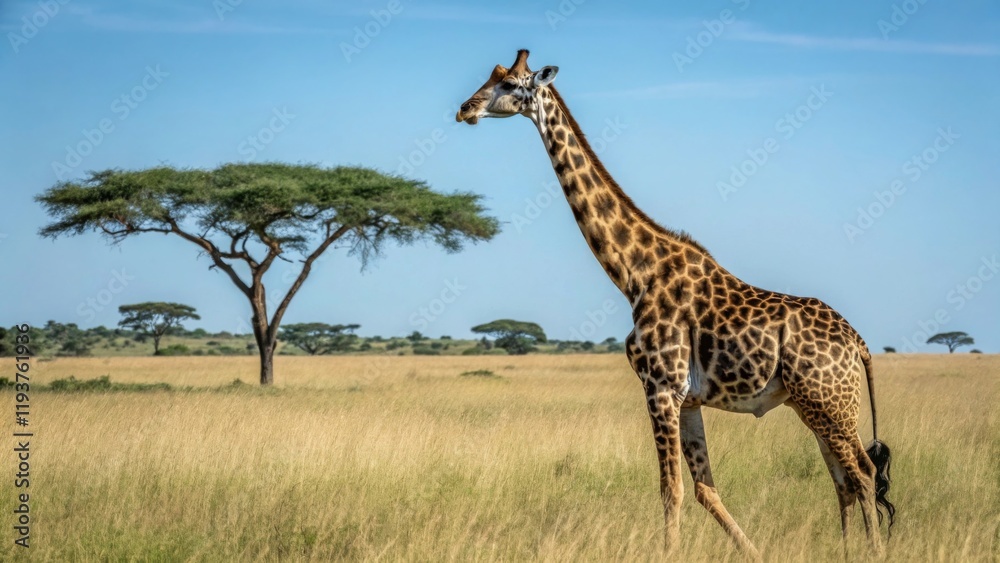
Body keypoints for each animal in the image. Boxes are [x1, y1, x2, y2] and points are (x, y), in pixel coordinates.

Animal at [456, 50, 895, 558]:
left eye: (509, 84)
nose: (465, 109)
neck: (634, 274)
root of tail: (858, 343)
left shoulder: (661, 386)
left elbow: (672, 488)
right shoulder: (687, 399)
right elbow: (705, 488)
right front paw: (753, 552)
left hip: (829, 402)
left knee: (863, 471)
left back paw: (873, 551)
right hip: (814, 405)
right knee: (843, 478)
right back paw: (847, 549)